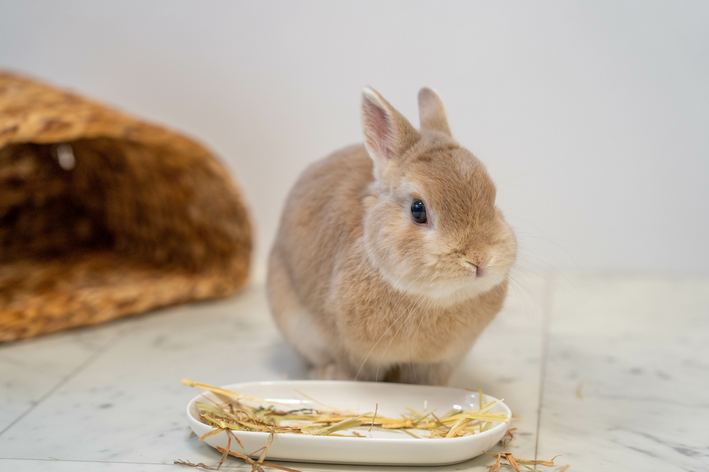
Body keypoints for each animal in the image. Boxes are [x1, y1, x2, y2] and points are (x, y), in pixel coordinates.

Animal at [266, 86, 516, 386]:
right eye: (418, 210)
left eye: (492, 198)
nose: (479, 259)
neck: (433, 301)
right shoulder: (351, 353)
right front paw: (335, 377)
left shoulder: (440, 362)